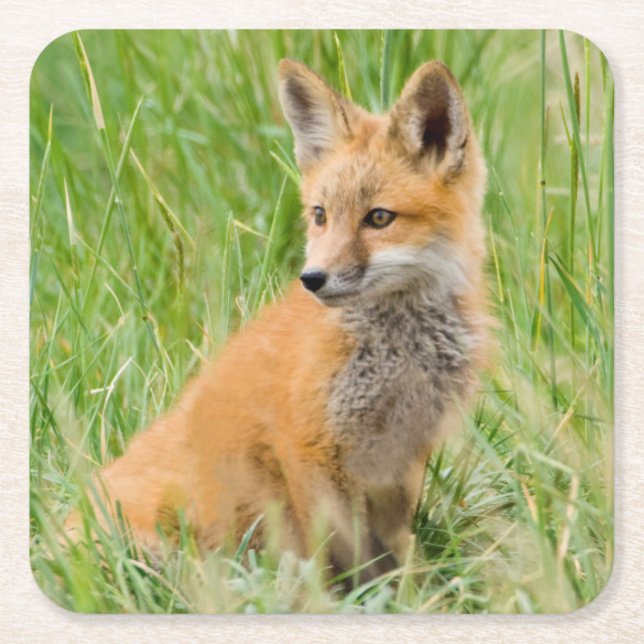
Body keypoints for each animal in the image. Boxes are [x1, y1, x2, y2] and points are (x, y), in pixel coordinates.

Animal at [68, 58, 489, 583]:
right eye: (320, 215)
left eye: (378, 218)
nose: (312, 278)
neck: (398, 354)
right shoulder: (308, 446)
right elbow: (342, 554)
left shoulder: (402, 457)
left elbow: (394, 549)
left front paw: (414, 588)